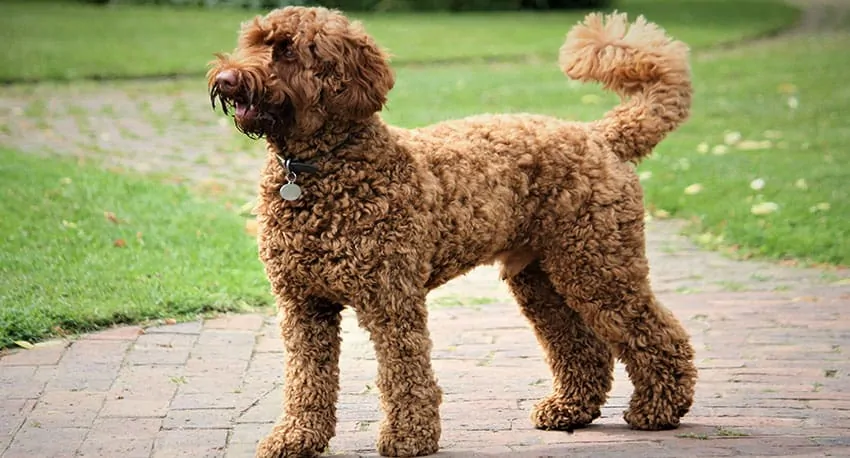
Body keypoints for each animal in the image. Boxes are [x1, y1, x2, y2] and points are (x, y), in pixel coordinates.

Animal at [207, 7, 696, 458]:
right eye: (251, 42)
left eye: (287, 50)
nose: (227, 79)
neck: (319, 168)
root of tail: (601, 135)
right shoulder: (303, 305)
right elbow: (306, 379)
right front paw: (297, 438)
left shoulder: (391, 299)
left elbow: (404, 373)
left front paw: (409, 438)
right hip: (543, 279)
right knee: (581, 345)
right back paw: (570, 408)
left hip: (598, 265)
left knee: (657, 334)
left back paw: (658, 408)